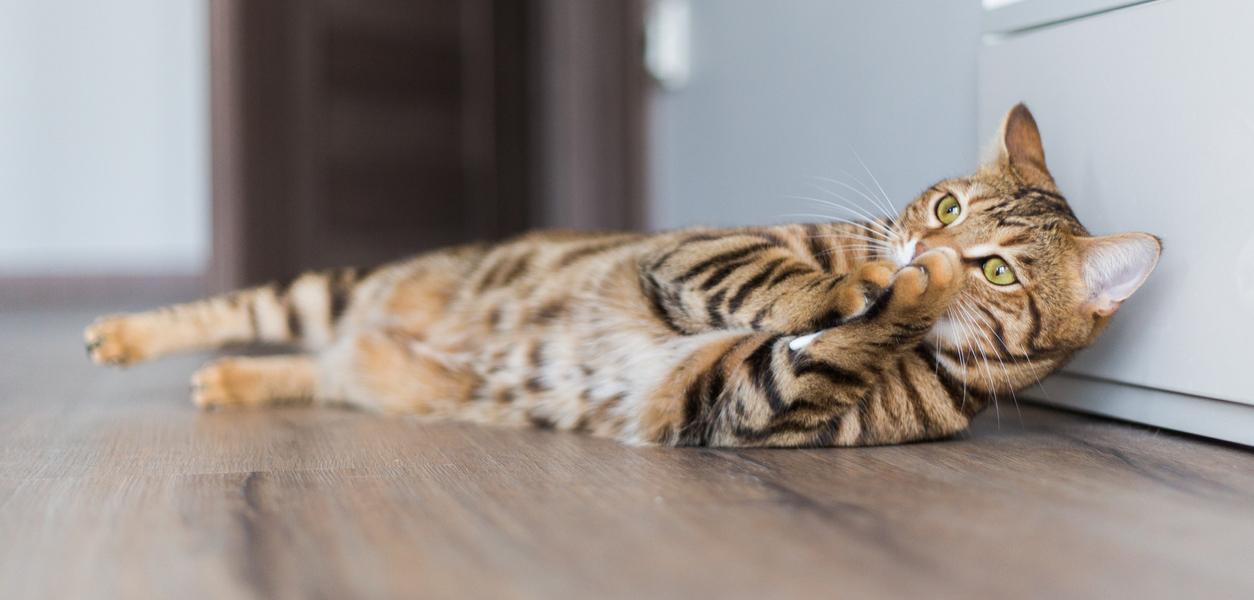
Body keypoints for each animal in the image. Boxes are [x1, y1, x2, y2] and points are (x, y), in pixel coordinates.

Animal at [85, 105, 1163, 446]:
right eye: (945, 210)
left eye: (998, 268)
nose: (922, 251)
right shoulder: (693, 255)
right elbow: (795, 283)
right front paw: (870, 283)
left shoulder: (738, 398)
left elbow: (828, 347)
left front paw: (910, 297)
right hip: (336, 289)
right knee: (250, 311)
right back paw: (127, 336)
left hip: (355, 361)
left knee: (319, 372)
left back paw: (238, 380)